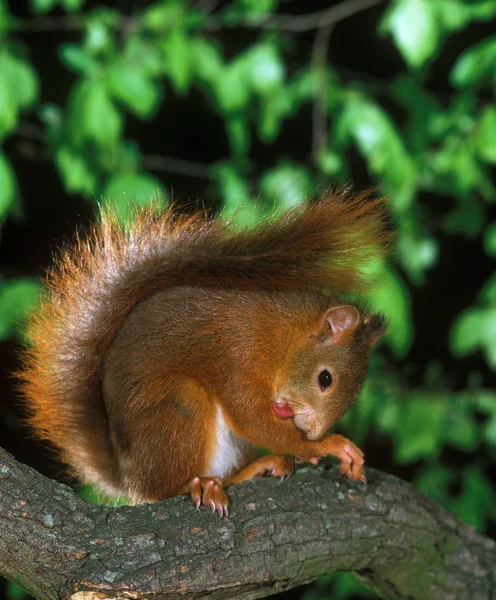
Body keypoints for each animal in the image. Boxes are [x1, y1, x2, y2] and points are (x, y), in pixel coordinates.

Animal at [18, 192, 388, 516]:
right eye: (325, 378)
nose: (311, 430)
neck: (284, 336)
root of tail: (130, 477)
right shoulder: (239, 349)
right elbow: (252, 418)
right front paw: (326, 446)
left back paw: (256, 467)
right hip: (179, 403)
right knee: (165, 489)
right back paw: (198, 485)